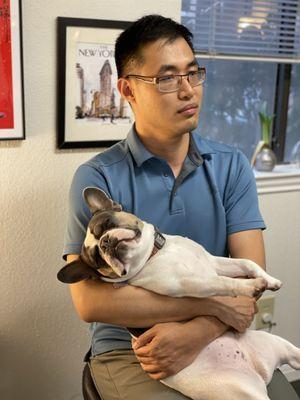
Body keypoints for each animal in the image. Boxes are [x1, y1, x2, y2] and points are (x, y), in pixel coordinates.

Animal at [58, 188, 300, 400]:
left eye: (107, 224)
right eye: (98, 259)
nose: (105, 242)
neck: (154, 253)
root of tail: (260, 373)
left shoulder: (214, 263)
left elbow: (246, 263)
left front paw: (269, 280)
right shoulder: (188, 283)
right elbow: (223, 282)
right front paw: (251, 286)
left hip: (278, 345)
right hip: (243, 393)